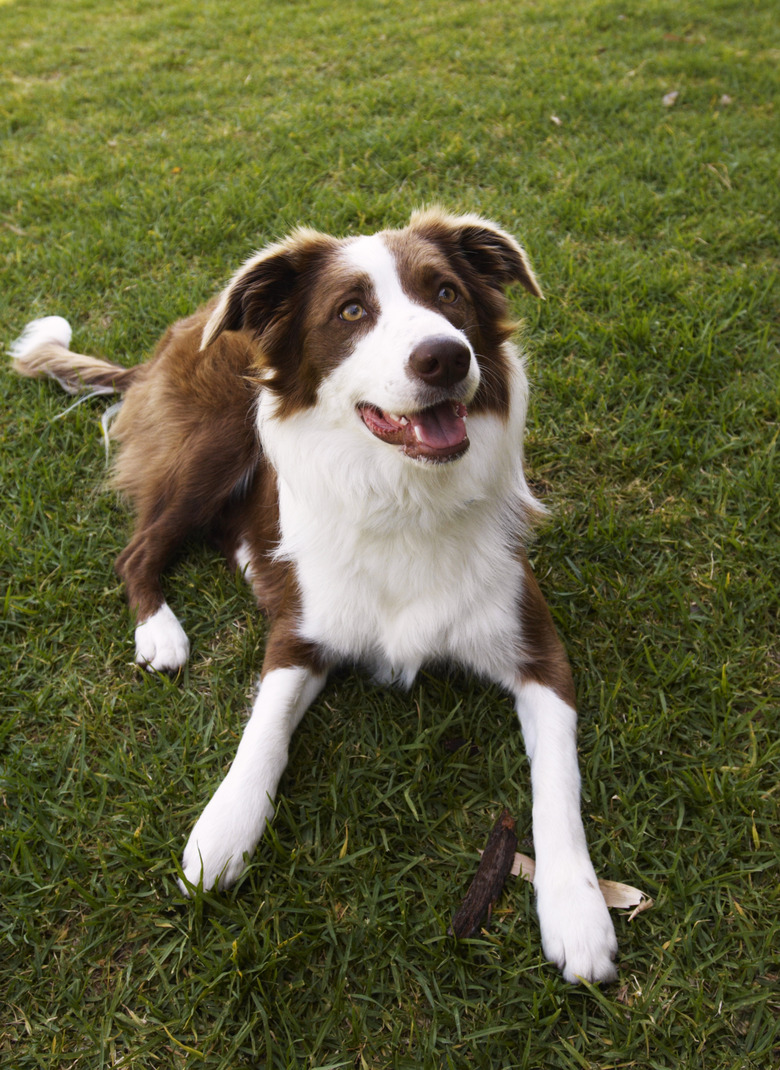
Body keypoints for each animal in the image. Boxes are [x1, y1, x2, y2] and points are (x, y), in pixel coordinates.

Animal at [7, 210, 616, 984]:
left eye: (447, 292)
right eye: (351, 312)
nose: (446, 358)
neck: (404, 498)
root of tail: (178, 334)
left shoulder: (540, 653)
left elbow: (558, 788)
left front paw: (578, 912)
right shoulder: (299, 638)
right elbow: (262, 734)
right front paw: (221, 831)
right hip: (214, 442)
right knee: (137, 550)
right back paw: (160, 632)